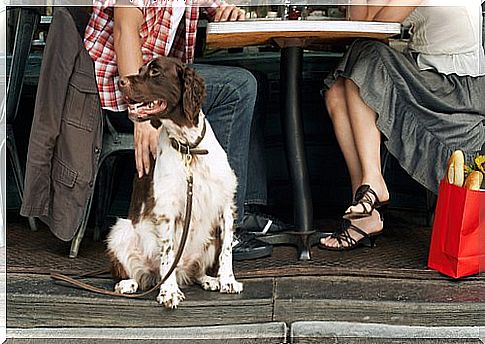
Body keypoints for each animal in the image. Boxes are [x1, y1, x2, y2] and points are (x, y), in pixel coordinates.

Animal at [106, 57, 242, 310]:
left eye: (155, 71)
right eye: (140, 69)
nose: (120, 81)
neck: (189, 147)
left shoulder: (226, 205)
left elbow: (227, 250)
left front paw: (227, 280)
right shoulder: (166, 210)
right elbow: (168, 255)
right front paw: (169, 292)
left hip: (210, 238)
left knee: (195, 271)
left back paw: (209, 279)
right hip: (121, 230)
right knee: (136, 273)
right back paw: (128, 284)